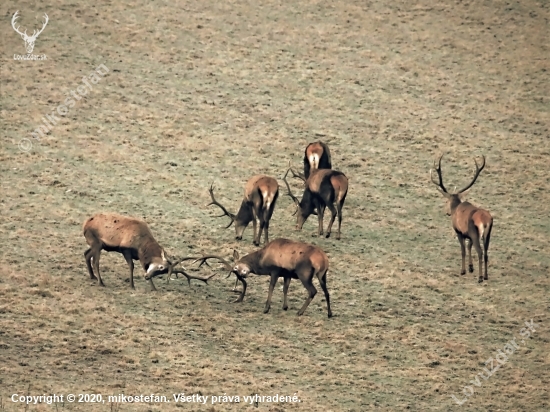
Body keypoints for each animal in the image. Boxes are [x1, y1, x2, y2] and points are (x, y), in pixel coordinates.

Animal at [83, 214, 215, 292]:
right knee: (95, 261)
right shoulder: (125, 249)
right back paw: (101, 282)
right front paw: (132, 285)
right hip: (96, 243)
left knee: (86, 253)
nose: (146, 277)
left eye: (162, 272)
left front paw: (153, 287)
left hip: (96, 245)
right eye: (161, 267)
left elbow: (143, 267)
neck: (142, 246)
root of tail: (85, 224)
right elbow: (132, 266)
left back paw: (92, 276)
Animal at [195, 238, 332, 318]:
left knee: (313, 291)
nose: (243, 274)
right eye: (236, 272)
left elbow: (271, 287)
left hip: (304, 273)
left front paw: (266, 308)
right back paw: (330, 313)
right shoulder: (287, 274)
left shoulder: (275, 270)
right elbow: (285, 289)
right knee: (326, 292)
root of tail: (323, 260)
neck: (262, 260)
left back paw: (300, 312)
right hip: (322, 275)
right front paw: (285, 306)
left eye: (236, 268)